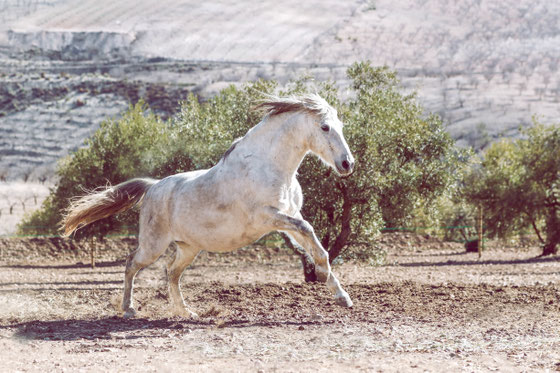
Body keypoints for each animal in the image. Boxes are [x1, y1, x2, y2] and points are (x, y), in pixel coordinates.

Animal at [62, 93, 354, 316]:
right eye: (325, 127)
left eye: (340, 124)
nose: (347, 164)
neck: (268, 166)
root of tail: (153, 187)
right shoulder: (267, 217)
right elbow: (309, 233)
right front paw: (326, 279)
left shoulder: (290, 216)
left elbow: (316, 244)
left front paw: (341, 296)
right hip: (153, 245)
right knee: (131, 263)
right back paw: (129, 309)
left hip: (188, 248)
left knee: (171, 273)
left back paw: (186, 312)